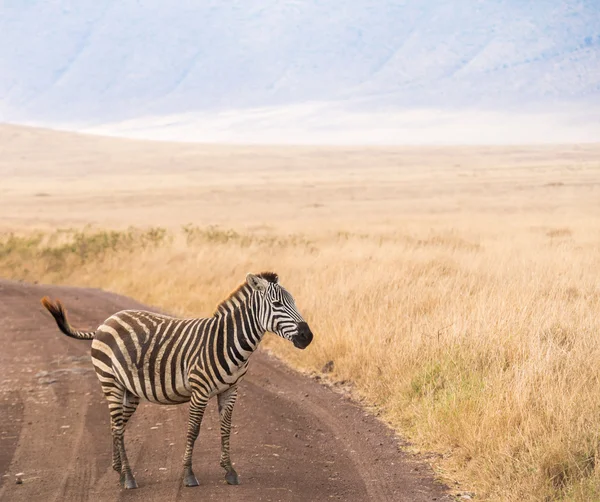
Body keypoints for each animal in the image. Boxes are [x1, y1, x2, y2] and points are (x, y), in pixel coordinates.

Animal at [41, 272, 314, 488]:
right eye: (277, 303)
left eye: (294, 301)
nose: (307, 336)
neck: (226, 340)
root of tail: (103, 323)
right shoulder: (200, 391)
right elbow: (193, 431)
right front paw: (188, 475)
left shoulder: (231, 390)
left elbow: (226, 429)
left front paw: (230, 471)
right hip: (111, 382)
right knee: (117, 427)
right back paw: (128, 478)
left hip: (129, 391)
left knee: (114, 426)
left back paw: (119, 471)